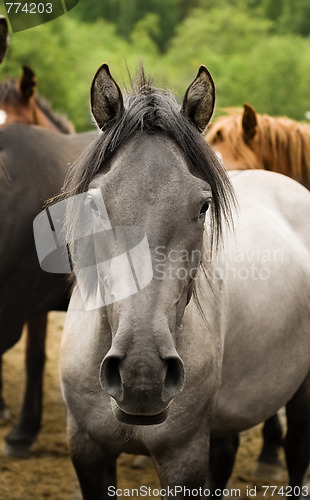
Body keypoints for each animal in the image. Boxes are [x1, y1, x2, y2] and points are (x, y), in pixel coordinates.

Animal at [58, 64, 310, 498]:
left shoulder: (183, 455)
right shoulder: (86, 451)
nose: (142, 374)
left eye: (204, 205)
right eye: (92, 203)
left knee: (296, 451)